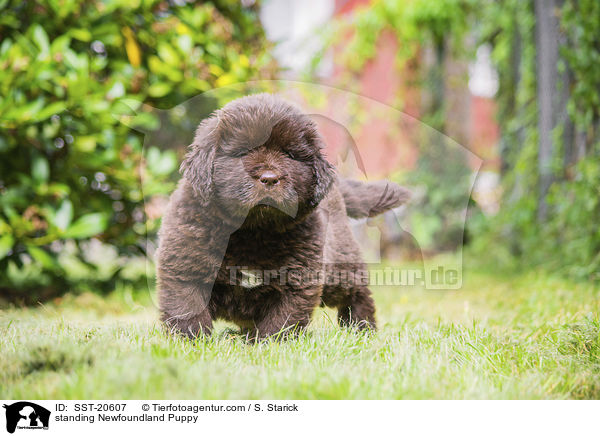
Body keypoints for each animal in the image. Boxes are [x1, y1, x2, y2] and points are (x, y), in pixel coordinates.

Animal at [155, 93, 410, 338]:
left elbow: (282, 318)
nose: (269, 178)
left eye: (289, 154)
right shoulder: (185, 268)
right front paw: (192, 340)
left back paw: (361, 327)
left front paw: (269, 344)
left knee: (357, 292)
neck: (252, 231)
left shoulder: (298, 278)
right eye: (244, 151)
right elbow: (188, 308)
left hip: (338, 264)